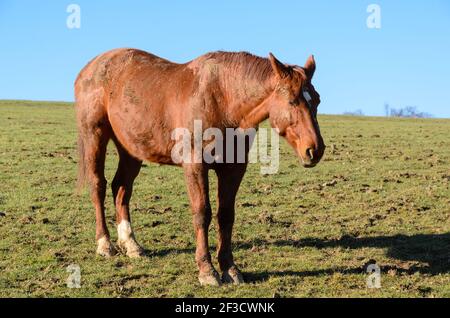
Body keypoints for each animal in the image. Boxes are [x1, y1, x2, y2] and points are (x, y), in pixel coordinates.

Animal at [75, 48, 326, 286]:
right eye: (292, 101)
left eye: (317, 100)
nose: (315, 150)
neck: (222, 98)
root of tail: (90, 68)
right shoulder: (195, 167)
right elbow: (202, 214)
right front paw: (207, 271)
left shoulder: (234, 169)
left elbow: (226, 216)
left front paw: (229, 269)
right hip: (95, 135)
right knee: (98, 186)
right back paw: (105, 244)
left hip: (131, 148)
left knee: (121, 188)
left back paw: (131, 244)